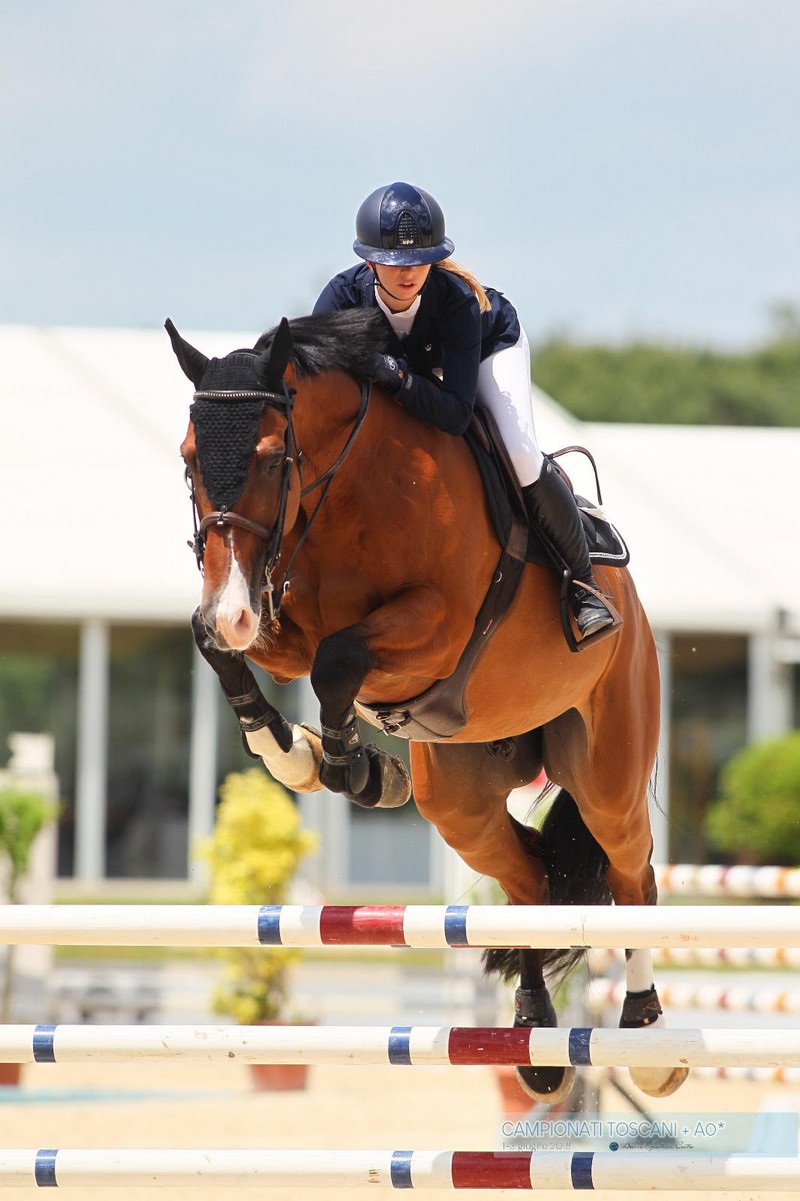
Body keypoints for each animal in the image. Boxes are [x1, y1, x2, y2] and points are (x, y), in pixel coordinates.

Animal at [164, 309, 682, 1104]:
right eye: (189, 456)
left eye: (271, 456)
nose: (232, 610)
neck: (349, 486)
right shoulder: (277, 618)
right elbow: (231, 650)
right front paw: (298, 755)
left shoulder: (434, 626)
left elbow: (338, 660)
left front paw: (353, 769)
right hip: (461, 802)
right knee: (531, 880)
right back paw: (534, 1038)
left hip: (609, 776)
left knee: (633, 875)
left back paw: (648, 1031)